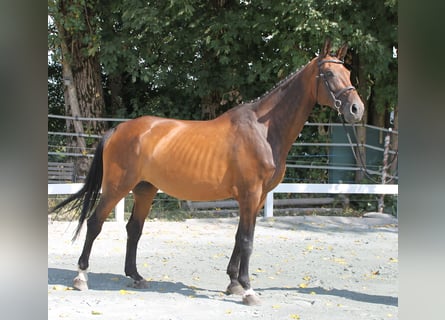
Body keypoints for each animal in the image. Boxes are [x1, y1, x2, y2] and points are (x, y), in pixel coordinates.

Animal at [51, 39, 364, 304]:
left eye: (348, 72)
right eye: (328, 74)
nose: (356, 109)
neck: (263, 130)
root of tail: (118, 129)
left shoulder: (258, 197)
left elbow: (239, 237)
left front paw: (234, 283)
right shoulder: (250, 194)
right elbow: (247, 240)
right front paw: (248, 290)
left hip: (145, 188)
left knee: (134, 229)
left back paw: (136, 276)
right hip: (117, 187)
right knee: (95, 223)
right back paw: (81, 277)